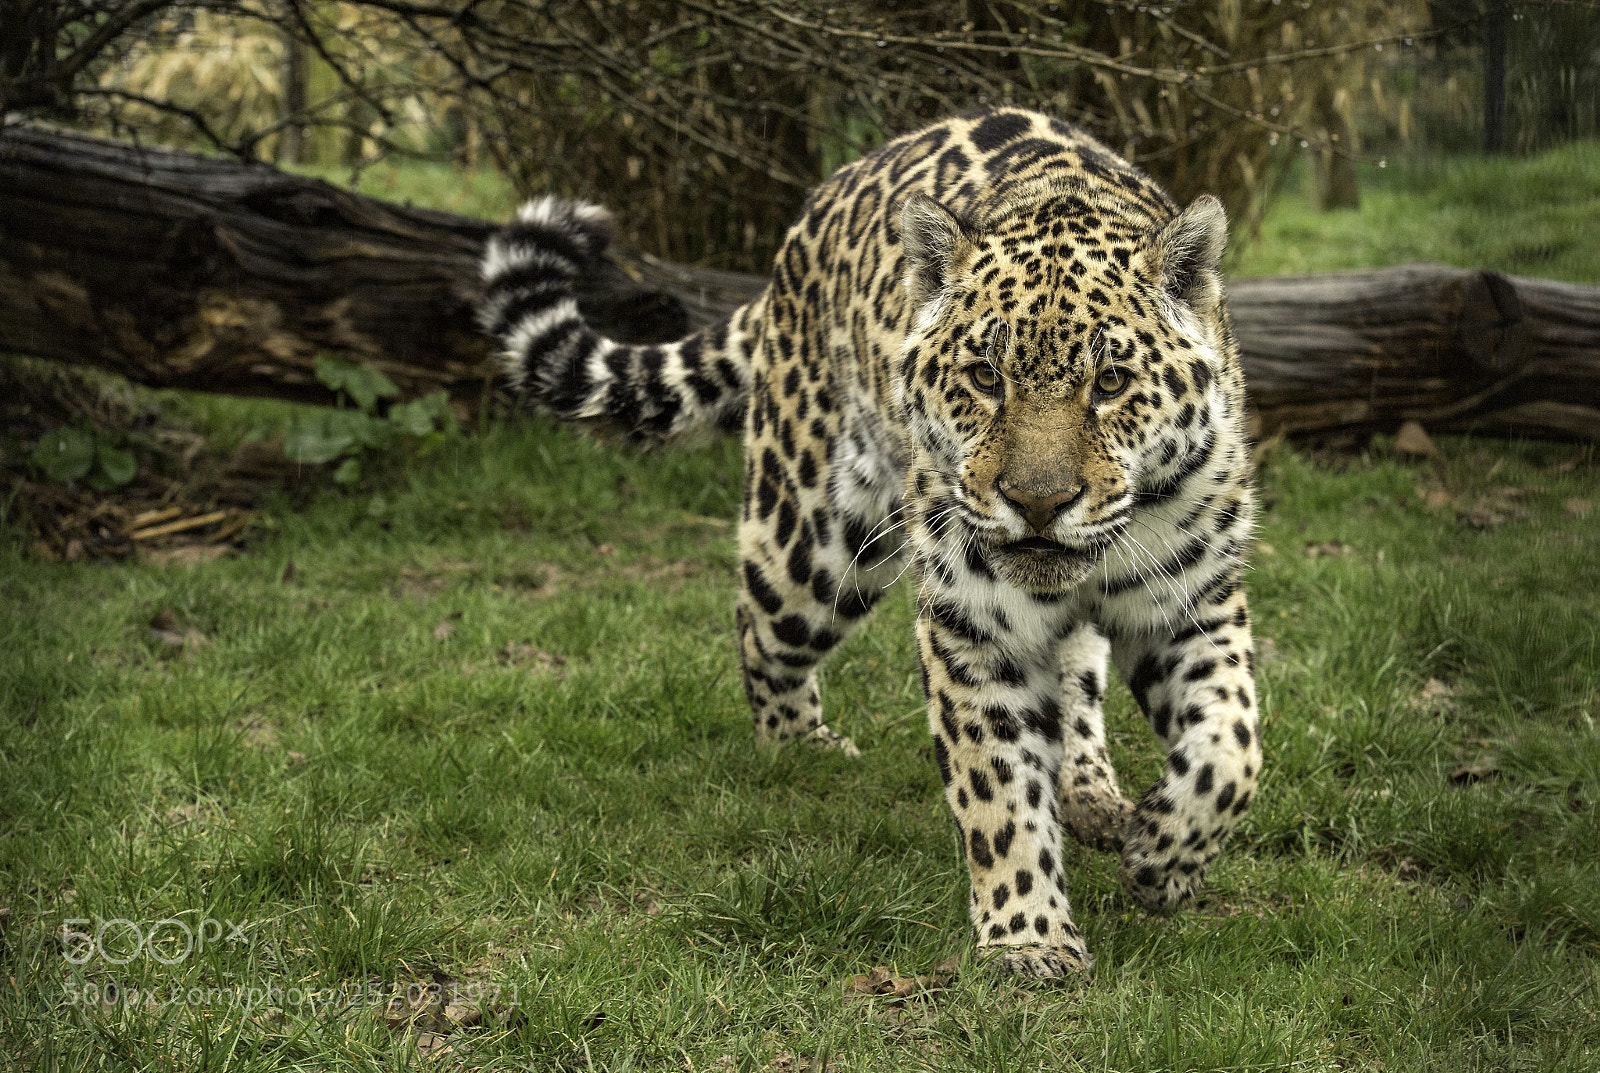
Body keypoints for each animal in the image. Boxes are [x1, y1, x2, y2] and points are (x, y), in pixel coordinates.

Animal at [478, 107, 1262, 979]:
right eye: (985, 377)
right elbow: (997, 789)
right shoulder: (972, 626)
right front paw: (1027, 935)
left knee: (1078, 679)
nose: (1037, 503)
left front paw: (1163, 858)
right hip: (813, 544)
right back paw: (801, 747)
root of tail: (817, 208)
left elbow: (1232, 747)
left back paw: (1092, 791)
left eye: (1112, 383)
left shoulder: (1193, 603)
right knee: (757, 627)